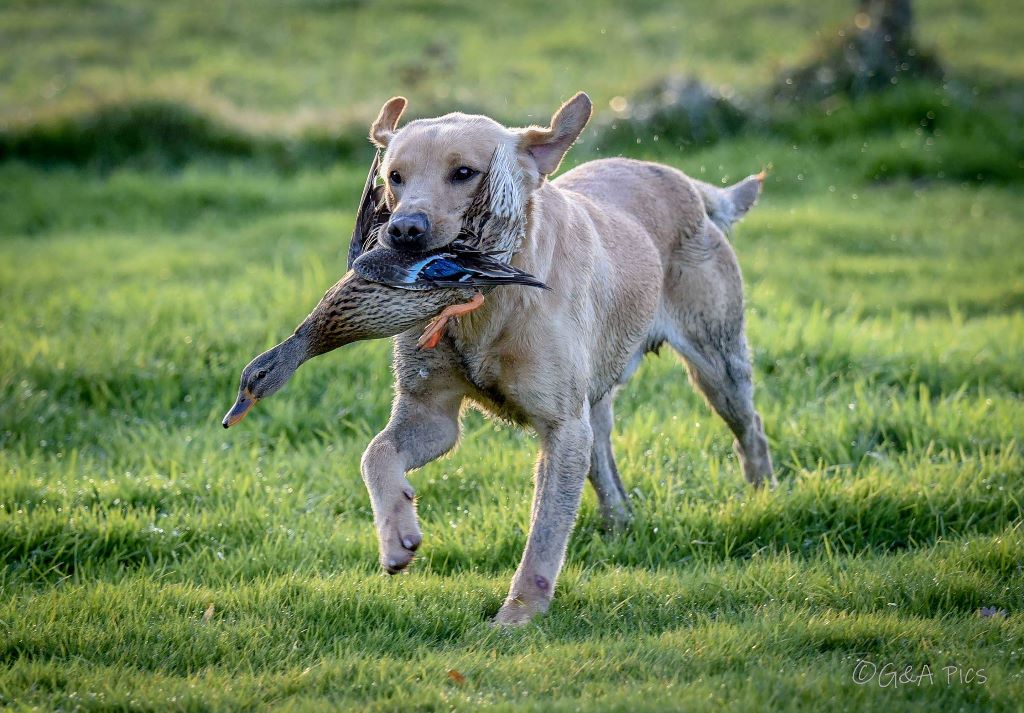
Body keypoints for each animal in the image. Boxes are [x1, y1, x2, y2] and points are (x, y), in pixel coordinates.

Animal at [358, 93, 770, 622]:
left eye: (465, 173)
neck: (488, 304)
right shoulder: (431, 415)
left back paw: (765, 496)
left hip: (717, 365)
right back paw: (620, 524)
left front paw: (518, 614)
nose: (404, 230)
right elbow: (376, 453)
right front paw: (396, 534)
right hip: (597, 400)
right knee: (604, 462)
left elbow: (545, 533)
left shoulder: (562, 427)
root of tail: (684, 182)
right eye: (395, 176)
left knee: (750, 429)